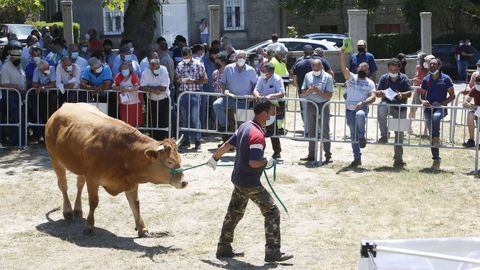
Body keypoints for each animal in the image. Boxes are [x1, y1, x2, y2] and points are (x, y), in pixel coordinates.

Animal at [44, 103, 188, 236]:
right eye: (169, 162)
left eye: (180, 160)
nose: (184, 182)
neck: (124, 151)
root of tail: (64, 106)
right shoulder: (93, 178)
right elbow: (93, 202)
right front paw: (89, 226)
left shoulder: (131, 183)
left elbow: (135, 204)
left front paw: (142, 228)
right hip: (55, 160)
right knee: (63, 185)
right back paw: (68, 212)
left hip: (80, 167)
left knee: (79, 184)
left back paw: (78, 210)